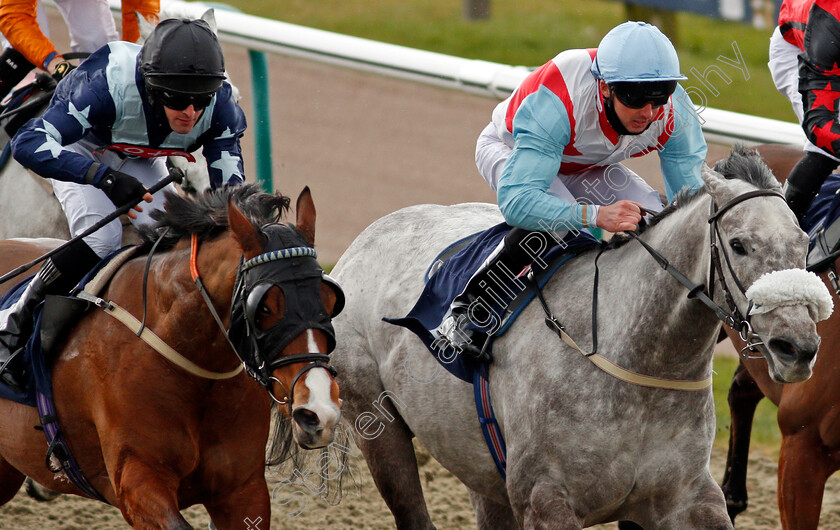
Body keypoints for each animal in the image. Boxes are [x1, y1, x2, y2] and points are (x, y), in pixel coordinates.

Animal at [330, 145, 828, 528]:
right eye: (739, 245)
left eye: (805, 244)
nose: (797, 349)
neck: (637, 361)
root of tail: (367, 238)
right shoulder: (545, 499)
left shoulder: (688, 497)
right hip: (376, 423)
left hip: (479, 466)